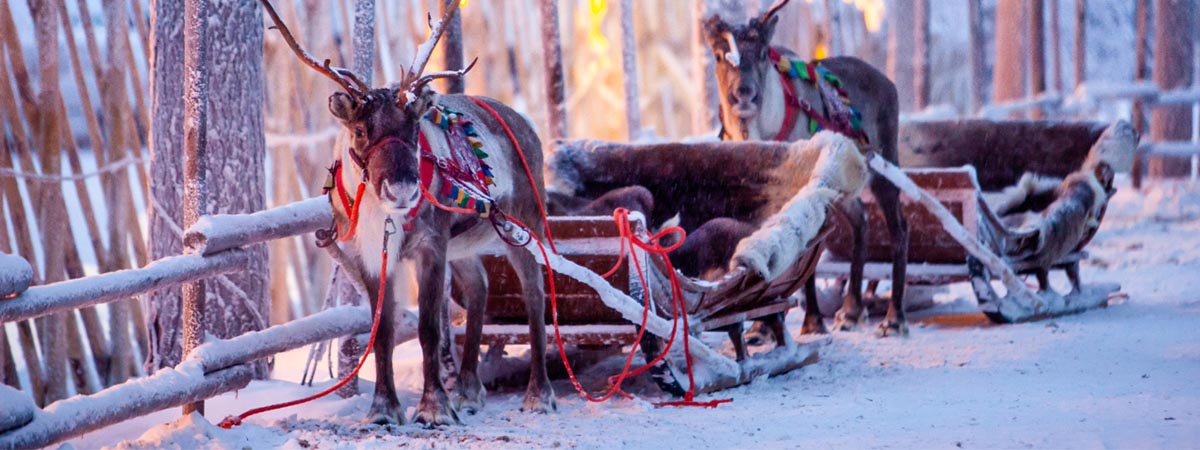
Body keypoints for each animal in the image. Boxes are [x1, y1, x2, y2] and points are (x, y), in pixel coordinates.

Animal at [260, 0, 555, 426]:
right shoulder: (370, 254)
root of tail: (526, 124)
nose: (401, 189)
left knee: (535, 294)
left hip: (524, 223)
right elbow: (381, 329)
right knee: (480, 285)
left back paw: (538, 394)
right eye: (360, 130)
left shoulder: (430, 246)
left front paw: (433, 408)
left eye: (415, 128)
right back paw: (468, 391)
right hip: (463, 244)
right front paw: (383, 408)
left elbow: (430, 328)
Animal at [703, 0, 910, 337]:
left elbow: (804, 255)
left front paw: (812, 321)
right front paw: (760, 326)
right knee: (862, 220)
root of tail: (889, 82)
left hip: (884, 165)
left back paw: (894, 318)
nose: (744, 93)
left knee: (899, 228)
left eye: (763, 52)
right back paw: (850, 310)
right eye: (720, 55)